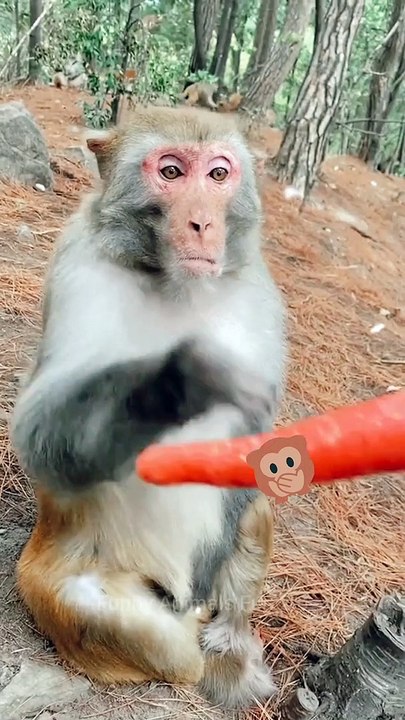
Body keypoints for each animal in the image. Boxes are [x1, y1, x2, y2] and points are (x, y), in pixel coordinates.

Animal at [10, 105, 287, 709]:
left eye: (218, 174)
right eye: (170, 171)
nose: (203, 223)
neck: (174, 285)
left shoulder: (257, 295)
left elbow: (254, 445)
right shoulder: (79, 269)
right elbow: (39, 439)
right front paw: (181, 379)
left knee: (253, 509)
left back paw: (227, 635)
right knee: (102, 610)